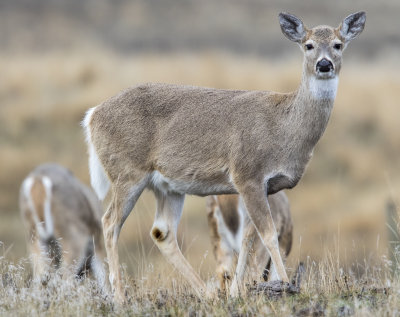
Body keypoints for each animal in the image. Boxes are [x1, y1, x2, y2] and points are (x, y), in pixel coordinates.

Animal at [82, 11, 366, 300]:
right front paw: (285, 285)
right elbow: (268, 235)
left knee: (162, 231)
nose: (324, 64)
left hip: (168, 187)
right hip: (127, 171)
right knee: (110, 222)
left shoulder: (263, 186)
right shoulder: (247, 173)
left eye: (338, 44)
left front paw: (236, 293)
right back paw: (119, 296)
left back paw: (205, 294)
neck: (284, 129)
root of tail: (92, 115)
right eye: (308, 45)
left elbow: (248, 238)